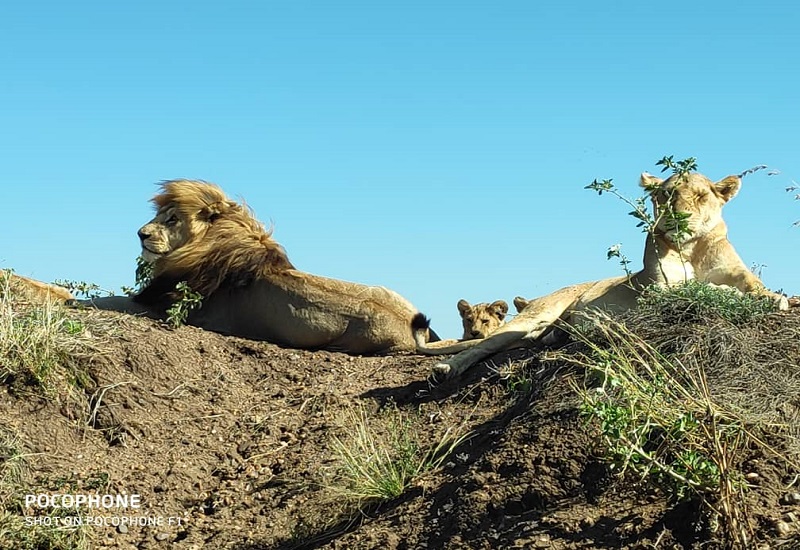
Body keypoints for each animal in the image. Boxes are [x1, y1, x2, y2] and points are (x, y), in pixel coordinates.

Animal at [84, 179, 440, 356]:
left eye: (172, 219)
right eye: (160, 216)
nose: (141, 234)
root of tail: (412, 327)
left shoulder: (169, 307)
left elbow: (107, 301)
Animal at [422, 172, 792, 380]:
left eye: (700, 197)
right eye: (666, 195)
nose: (679, 219)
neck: (689, 247)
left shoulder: (734, 271)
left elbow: (751, 284)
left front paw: (773, 297)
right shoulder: (658, 290)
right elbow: (698, 290)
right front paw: (732, 296)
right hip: (536, 315)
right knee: (481, 346)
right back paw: (446, 369)